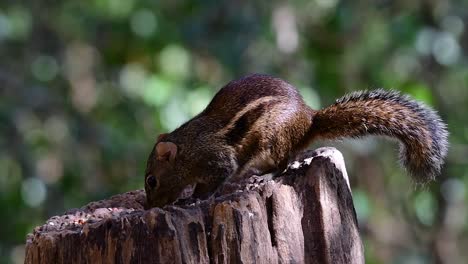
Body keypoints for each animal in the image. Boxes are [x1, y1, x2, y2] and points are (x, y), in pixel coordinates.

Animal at [144, 73, 448, 208]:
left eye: (152, 181)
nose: (149, 208)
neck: (188, 148)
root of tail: (309, 120)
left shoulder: (217, 159)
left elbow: (216, 180)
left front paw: (193, 199)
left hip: (274, 139)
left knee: (284, 164)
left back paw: (263, 176)